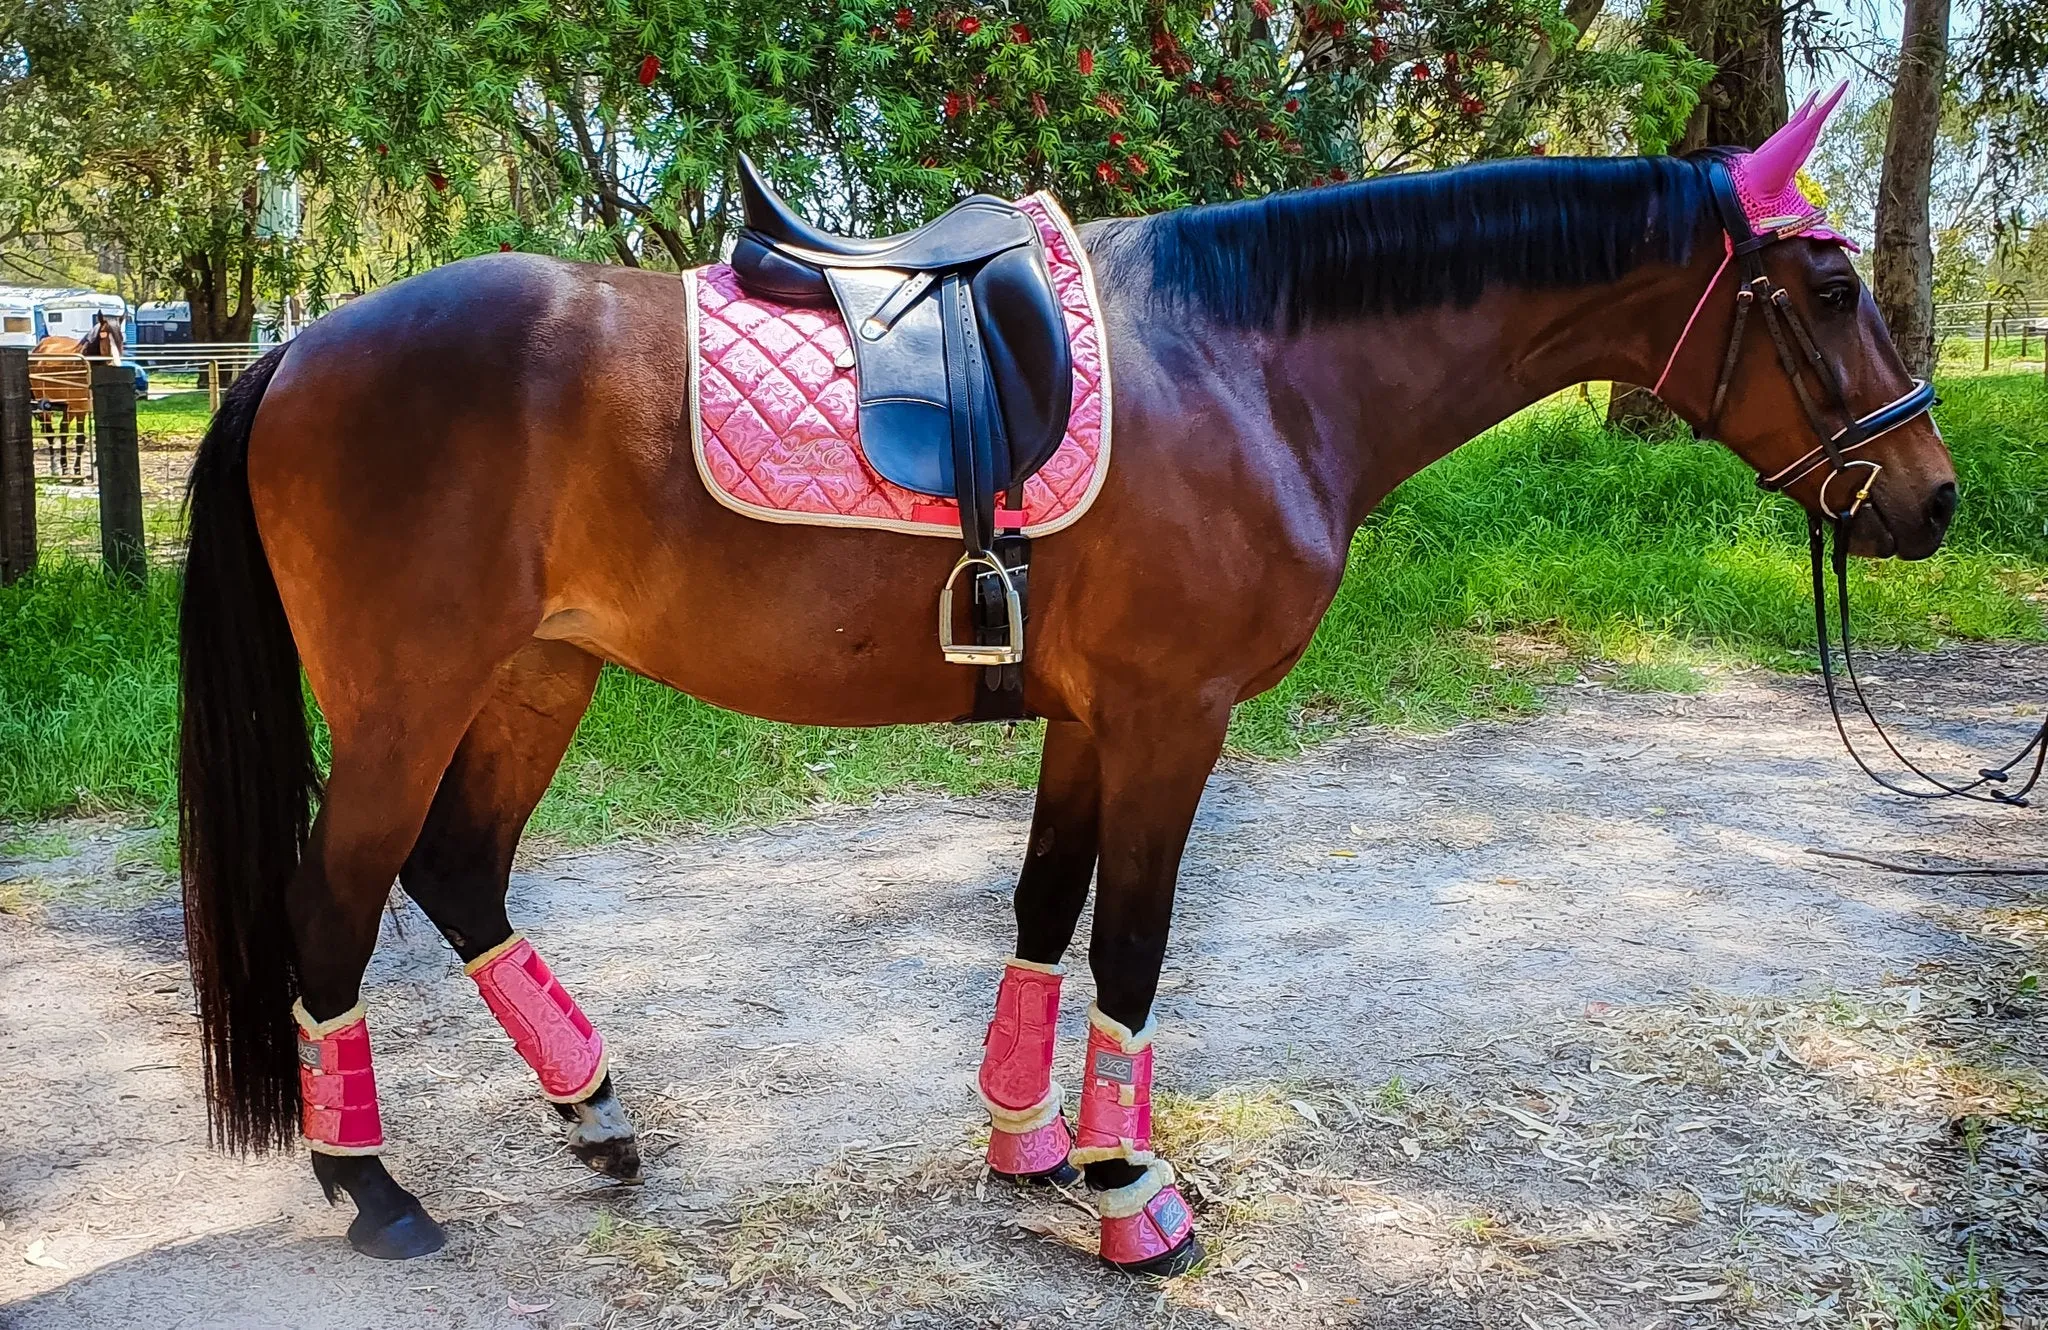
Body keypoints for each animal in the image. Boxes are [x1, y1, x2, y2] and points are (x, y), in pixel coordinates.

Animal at [176, 106, 1949, 1262]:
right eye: (1827, 289)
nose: (1929, 500)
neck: (1248, 360)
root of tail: (299, 347)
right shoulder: (1173, 718)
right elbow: (1136, 943)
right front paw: (1123, 1186)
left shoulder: (1095, 721)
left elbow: (1044, 905)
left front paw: (1026, 1144)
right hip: (412, 697)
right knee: (337, 897)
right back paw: (373, 1187)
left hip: (540, 676)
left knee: (455, 870)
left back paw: (596, 1109)